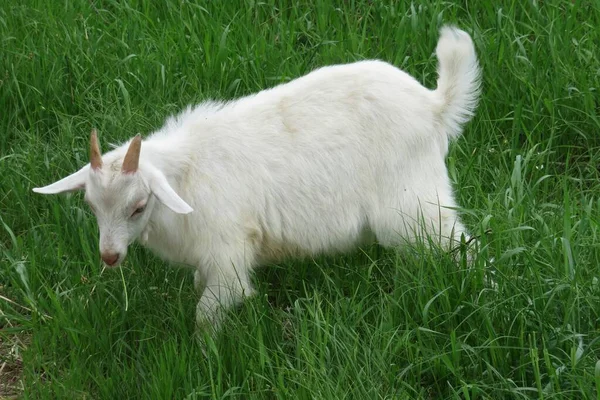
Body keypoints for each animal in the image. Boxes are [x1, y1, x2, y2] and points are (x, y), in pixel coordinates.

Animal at [34, 25, 482, 332]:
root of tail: (434, 105)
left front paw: (207, 359)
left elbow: (207, 314)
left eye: (139, 206)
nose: (109, 257)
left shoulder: (228, 256)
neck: (185, 176)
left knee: (461, 244)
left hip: (414, 204)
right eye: (91, 206)